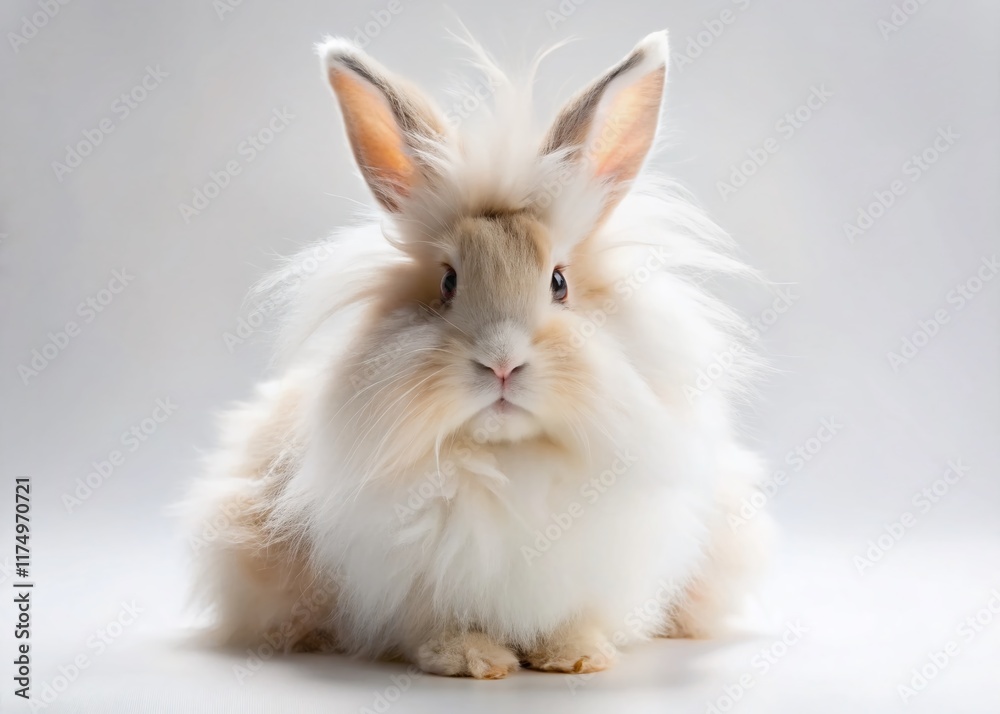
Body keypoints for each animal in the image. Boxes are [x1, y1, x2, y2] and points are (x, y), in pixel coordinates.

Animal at [184, 29, 774, 679]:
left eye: (559, 282)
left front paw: (578, 656)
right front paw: (473, 660)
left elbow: (574, 616)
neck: (507, 459)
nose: (501, 363)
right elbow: (437, 623)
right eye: (447, 282)